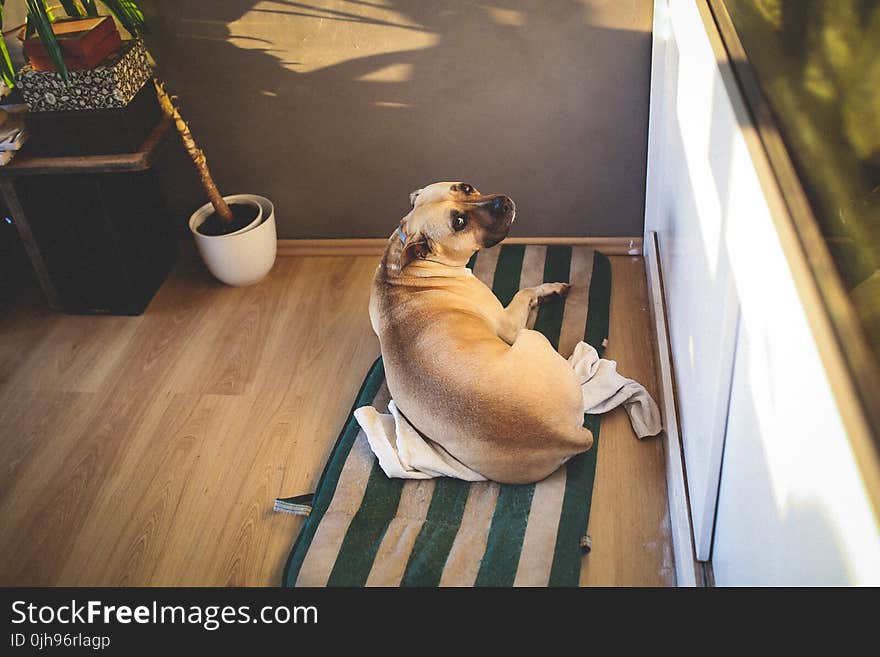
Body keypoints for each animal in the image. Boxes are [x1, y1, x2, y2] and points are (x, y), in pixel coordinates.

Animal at [368, 179, 596, 482]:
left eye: (465, 188)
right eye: (459, 223)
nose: (503, 202)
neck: (407, 268)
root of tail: (563, 434)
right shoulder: (509, 324)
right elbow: (525, 291)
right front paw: (548, 290)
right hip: (532, 338)